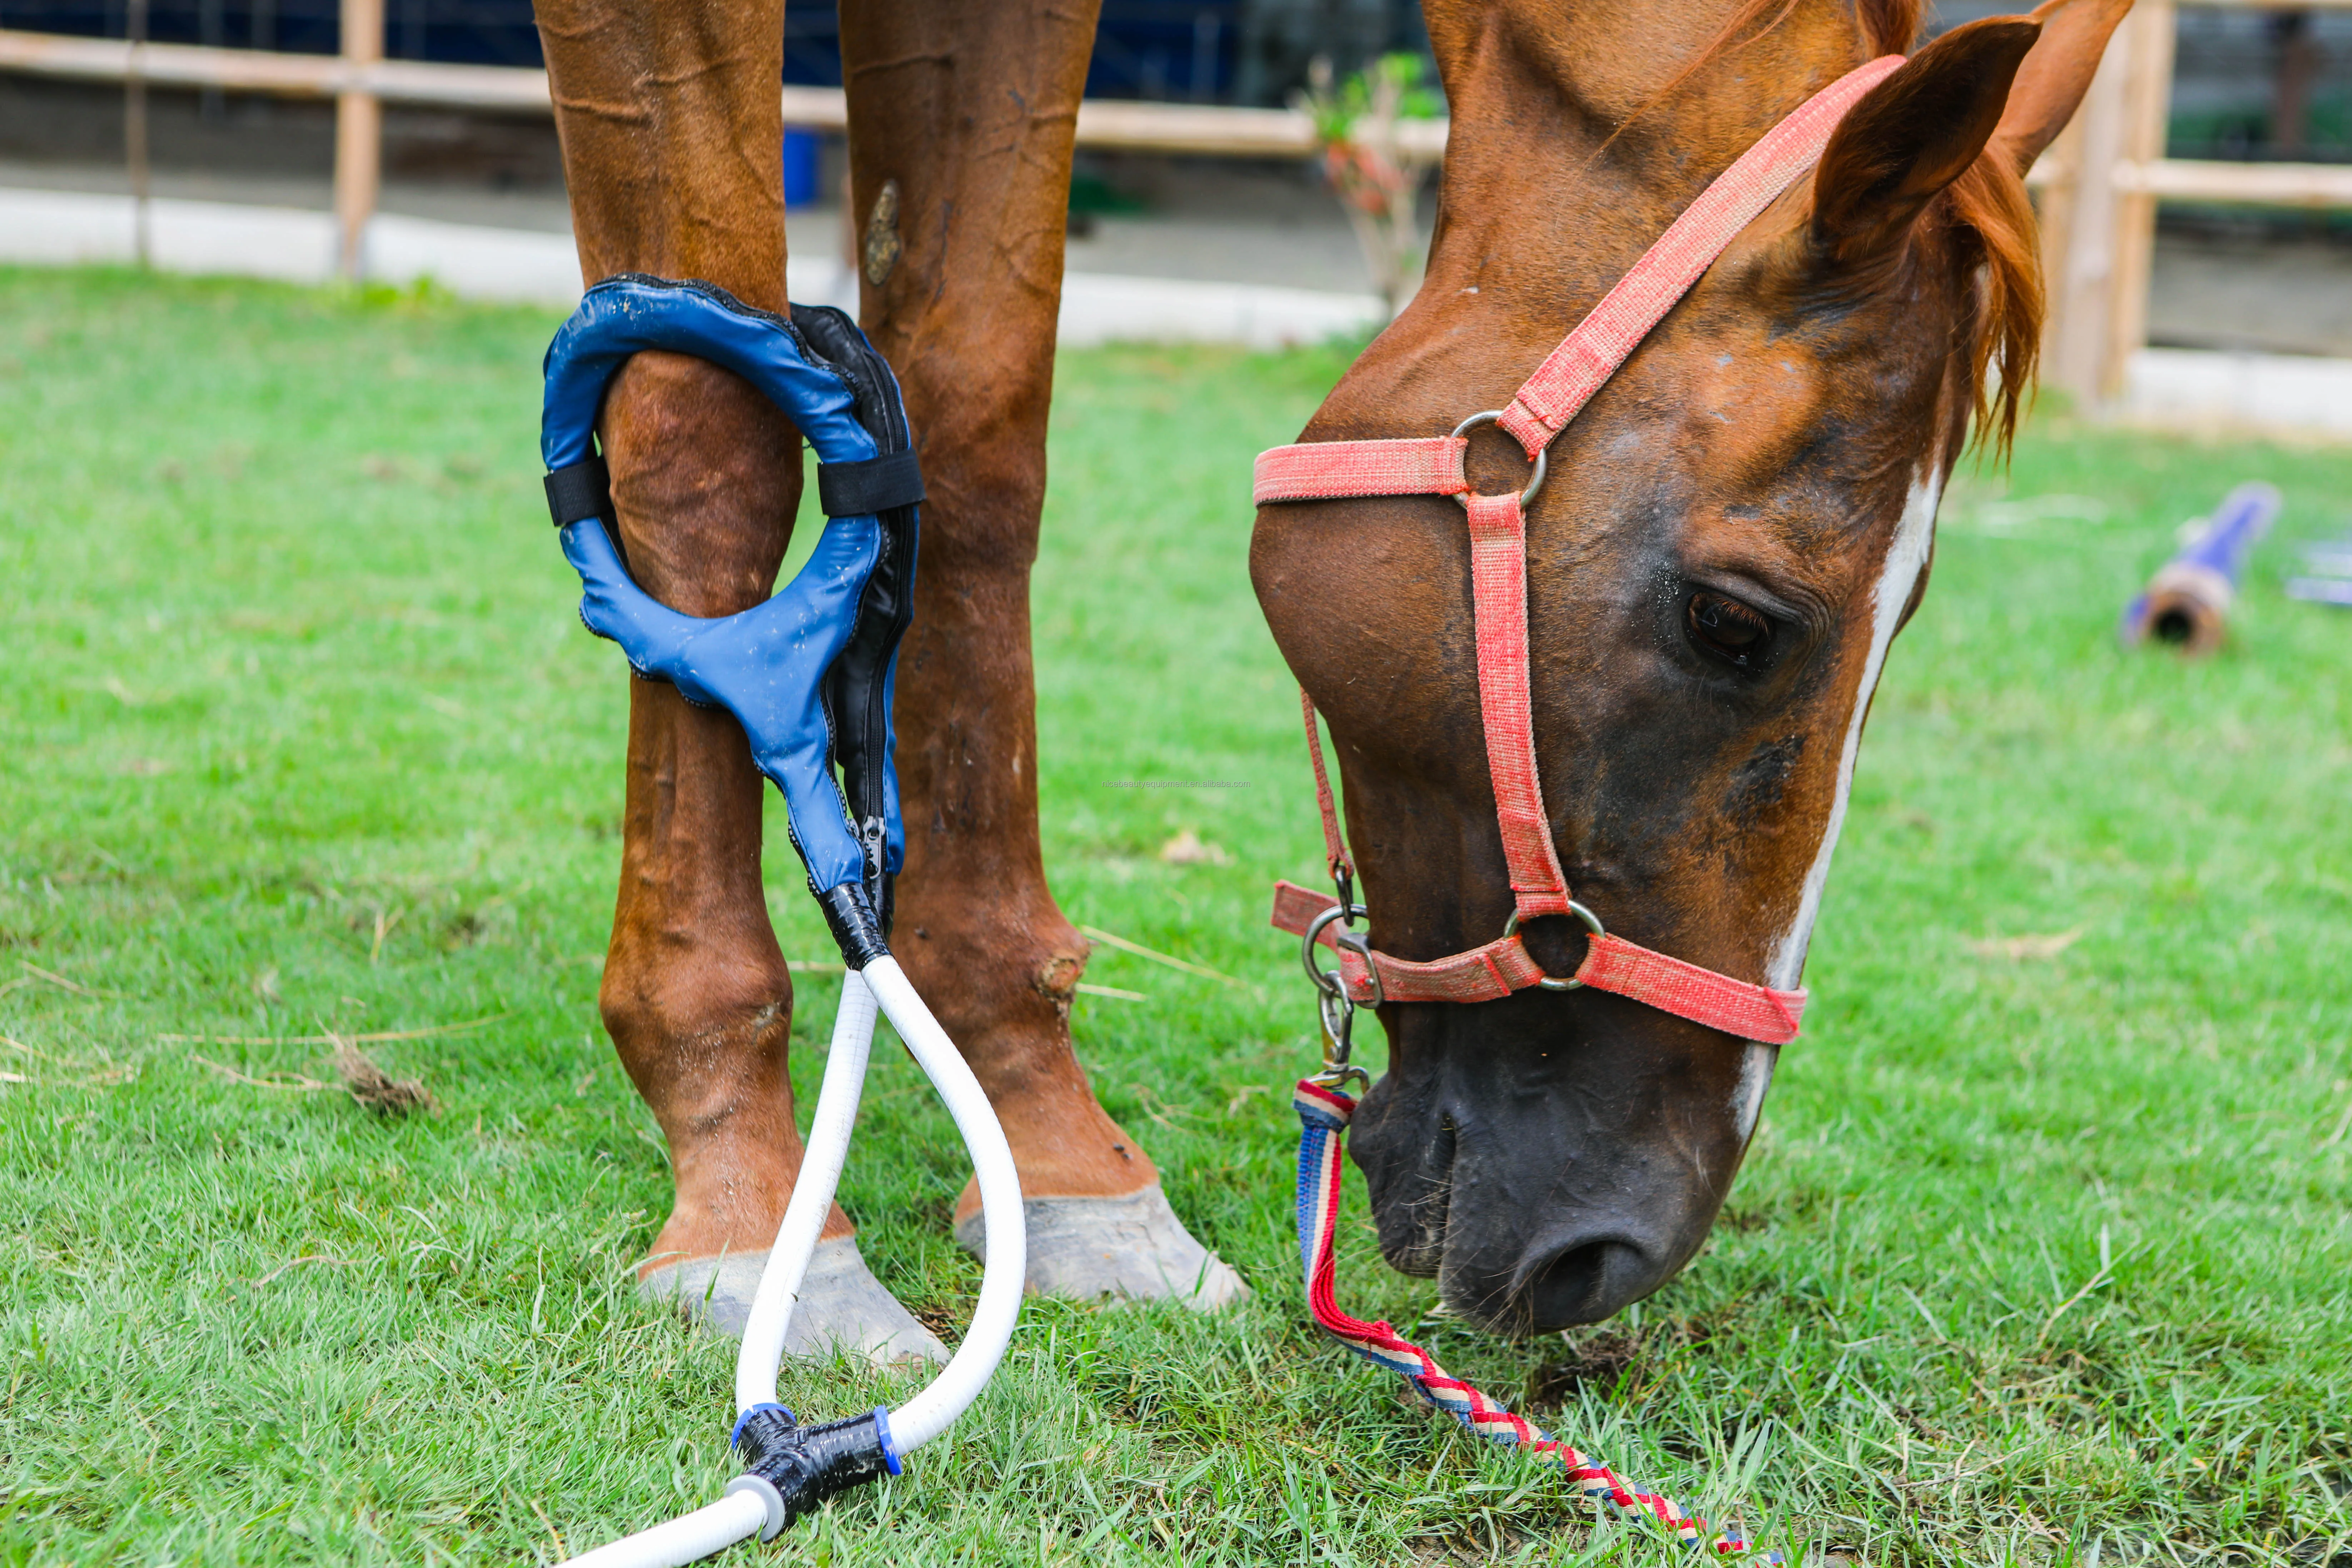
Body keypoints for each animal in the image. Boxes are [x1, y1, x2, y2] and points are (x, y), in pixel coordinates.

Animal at [527, 0, 2126, 1353]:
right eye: (1737, 624)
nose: (1617, 1247)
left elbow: (976, 418)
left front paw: (1057, 1154)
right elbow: (699, 443)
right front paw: (753, 1204)